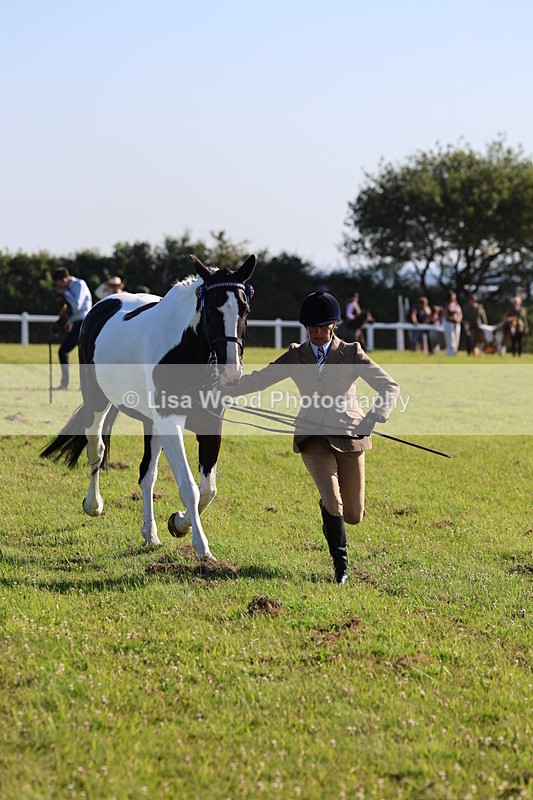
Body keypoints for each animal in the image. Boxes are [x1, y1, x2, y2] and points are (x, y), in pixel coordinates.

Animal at [41, 254, 256, 559]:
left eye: (245, 309)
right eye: (212, 311)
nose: (231, 373)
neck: (187, 353)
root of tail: (103, 305)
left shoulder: (210, 424)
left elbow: (208, 489)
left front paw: (178, 523)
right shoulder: (168, 421)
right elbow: (189, 487)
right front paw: (202, 547)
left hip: (150, 423)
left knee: (147, 475)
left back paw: (150, 534)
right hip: (98, 401)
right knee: (97, 448)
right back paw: (94, 504)